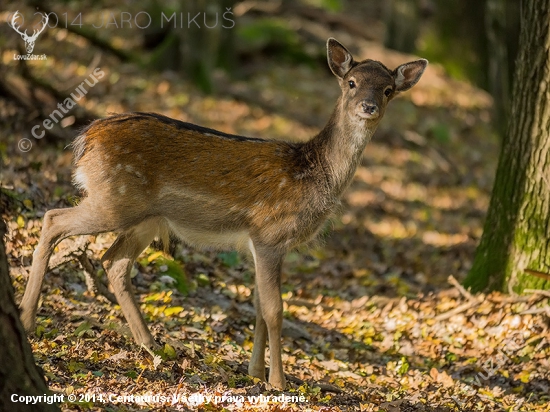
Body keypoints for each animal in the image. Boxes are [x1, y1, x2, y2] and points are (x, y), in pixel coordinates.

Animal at [20, 38, 426, 390]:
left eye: (388, 90)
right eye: (352, 82)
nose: (368, 107)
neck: (313, 174)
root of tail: (85, 139)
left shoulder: (259, 245)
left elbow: (258, 305)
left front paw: (254, 372)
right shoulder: (269, 235)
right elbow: (275, 309)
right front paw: (278, 382)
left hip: (145, 217)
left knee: (114, 261)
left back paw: (151, 343)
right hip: (114, 201)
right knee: (53, 219)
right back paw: (26, 317)